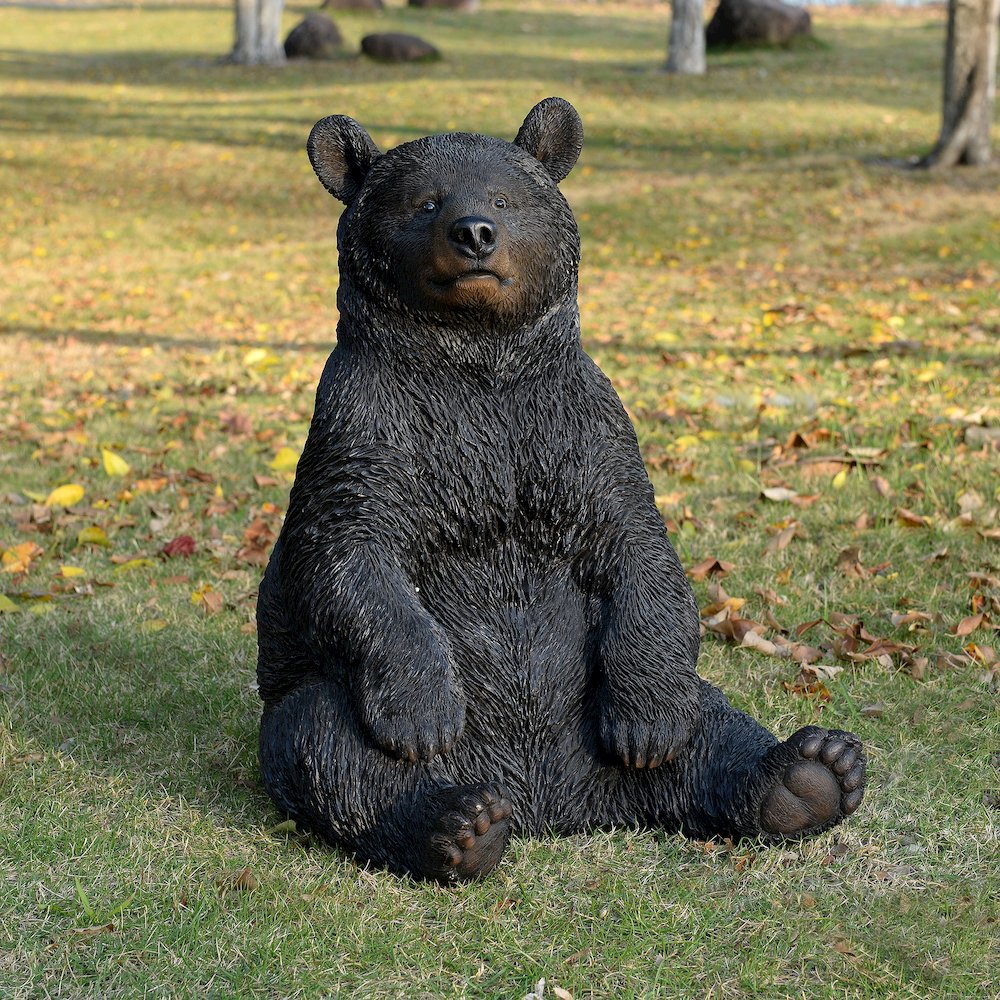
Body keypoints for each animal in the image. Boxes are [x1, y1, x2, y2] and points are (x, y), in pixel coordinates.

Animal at [256, 98, 866, 884]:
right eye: (425, 201)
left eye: (505, 199)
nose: (475, 234)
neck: (477, 368)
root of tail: (554, 806)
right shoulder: (369, 426)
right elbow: (348, 554)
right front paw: (425, 713)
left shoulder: (578, 428)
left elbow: (638, 545)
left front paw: (647, 723)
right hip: (328, 701)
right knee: (330, 747)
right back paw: (458, 824)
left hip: (604, 717)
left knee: (710, 726)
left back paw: (809, 775)